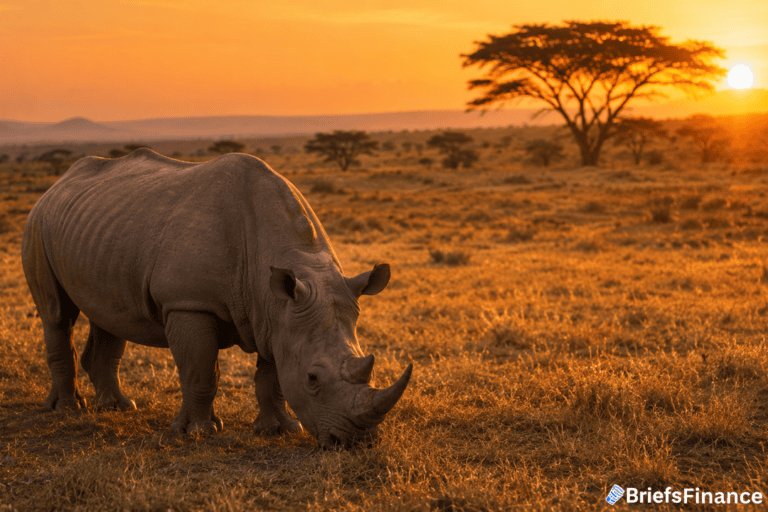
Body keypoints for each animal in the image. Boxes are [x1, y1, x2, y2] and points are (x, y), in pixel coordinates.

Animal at [21, 148, 412, 449]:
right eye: (313, 378)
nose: (356, 442)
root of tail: (57, 184)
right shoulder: (189, 302)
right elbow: (200, 371)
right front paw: (199, 432)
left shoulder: (276, 314)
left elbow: (271, 378)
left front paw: (278, 430)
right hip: (38, 223)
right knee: (56, 314)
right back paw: (67, 410)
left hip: (99, 231)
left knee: (110, 315)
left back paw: (119, 408)